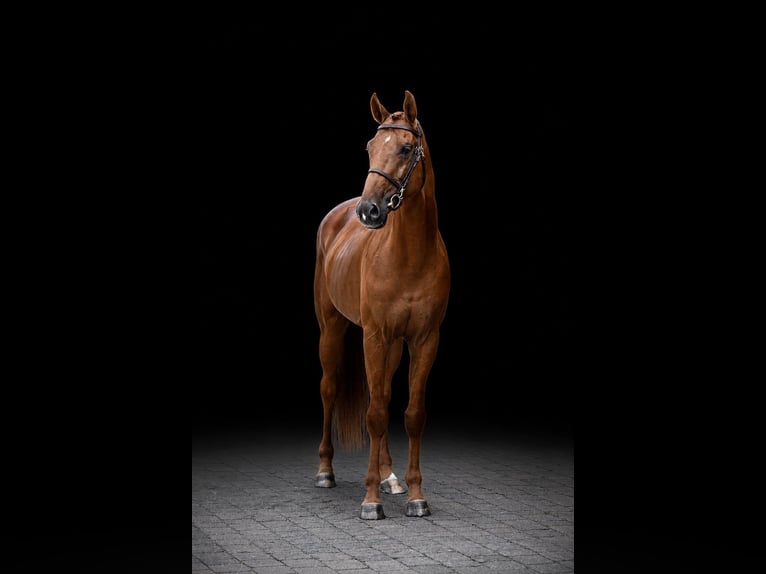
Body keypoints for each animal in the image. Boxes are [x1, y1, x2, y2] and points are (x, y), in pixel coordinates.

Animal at [313, 90, 450, 519]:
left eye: (406, 148)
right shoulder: (373, 336)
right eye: (370, 147)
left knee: (385, 394)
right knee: (330, 389)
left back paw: (391, 477)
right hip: (332, 329)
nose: (369, 210)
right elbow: (373, 414)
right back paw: (326, 472)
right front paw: (370, 500)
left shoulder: (424, 340)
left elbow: (411, 414)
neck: (409, 255)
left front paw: (416, 496)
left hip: (391, 346)